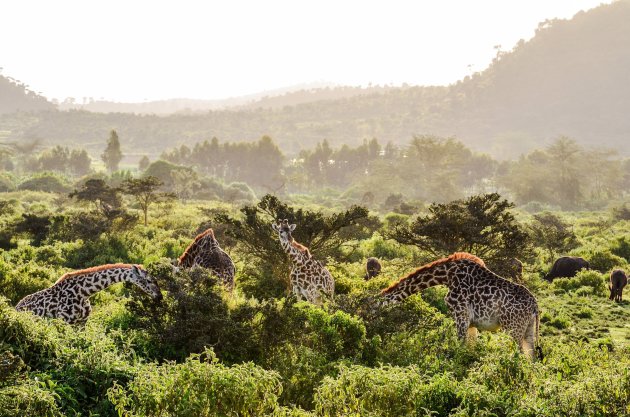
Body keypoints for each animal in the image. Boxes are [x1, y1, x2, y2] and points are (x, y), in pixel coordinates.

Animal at [17, 264, 162, 324]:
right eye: (149, 280)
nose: (160, 296)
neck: (83, 293)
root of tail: (16, 307)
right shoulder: (65, 321)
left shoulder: (82, 322)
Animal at [382, 252, 540, 360]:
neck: (446, 276)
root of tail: (535, 306)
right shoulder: (471, 323)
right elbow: (471, 349)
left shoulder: (461, 316)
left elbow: (460, 347)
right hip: (528, 329)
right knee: (531, 357)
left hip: (513, 328)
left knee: (520, 355)